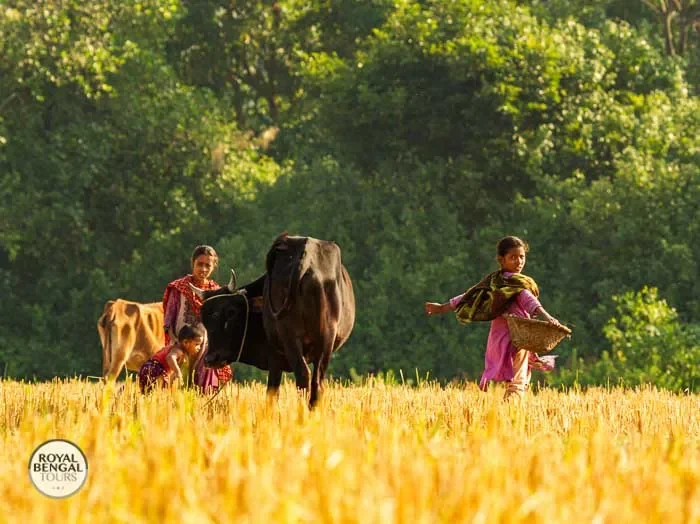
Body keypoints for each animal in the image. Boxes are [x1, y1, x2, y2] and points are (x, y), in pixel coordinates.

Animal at [194, 233, 355, 408]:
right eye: (204, 319)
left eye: (231, 312)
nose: (211, 359)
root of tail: (306, 256)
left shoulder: (275, 361)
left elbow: (271, 394)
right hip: (325, 339)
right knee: (315, 382)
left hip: (291, 338)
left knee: (303, 375)